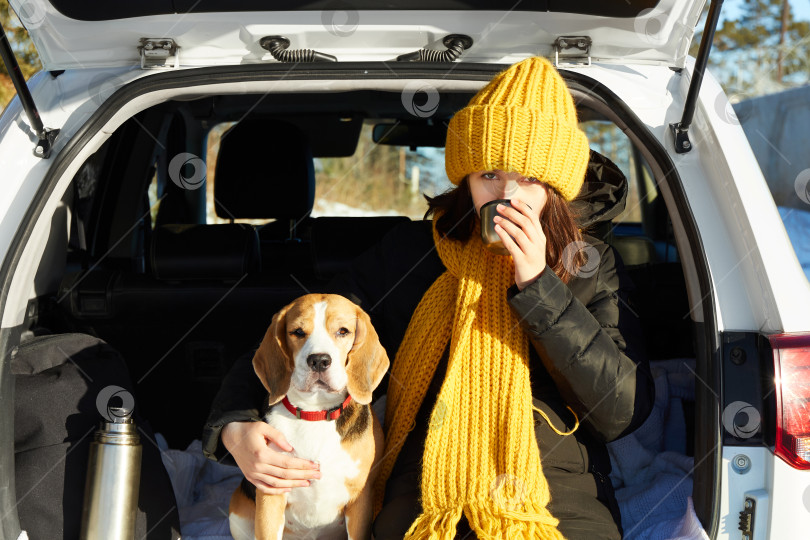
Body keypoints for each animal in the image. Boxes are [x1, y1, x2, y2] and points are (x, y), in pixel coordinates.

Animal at [229, 296, 390, 540]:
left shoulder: (360, 500)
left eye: (343, 331)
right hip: (236, 513)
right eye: (297, 332)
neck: (315, 413)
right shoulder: (270, 496)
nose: (319, 360)